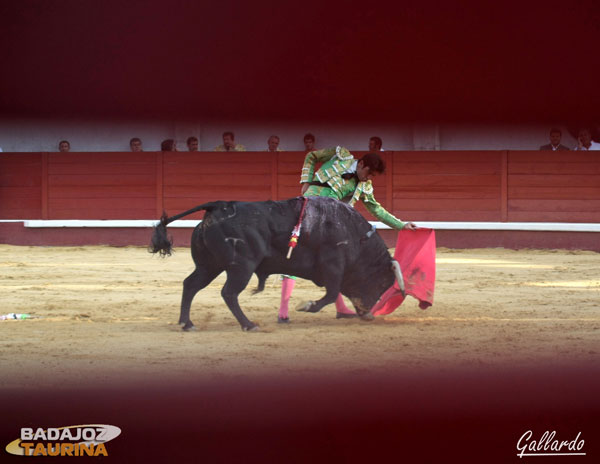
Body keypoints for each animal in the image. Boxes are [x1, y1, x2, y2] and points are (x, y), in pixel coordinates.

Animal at [150, 196, 404, 330]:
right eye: (382, 282)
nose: (368, 313)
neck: (356, 235)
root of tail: (217, 205)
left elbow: (334, 293)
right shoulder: (333, 266)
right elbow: (332, 293)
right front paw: (307, 306)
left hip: (209, 266)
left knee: (191, 284)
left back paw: (186, 323)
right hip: (242, 266)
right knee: (229, 292)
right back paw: (248, 324)